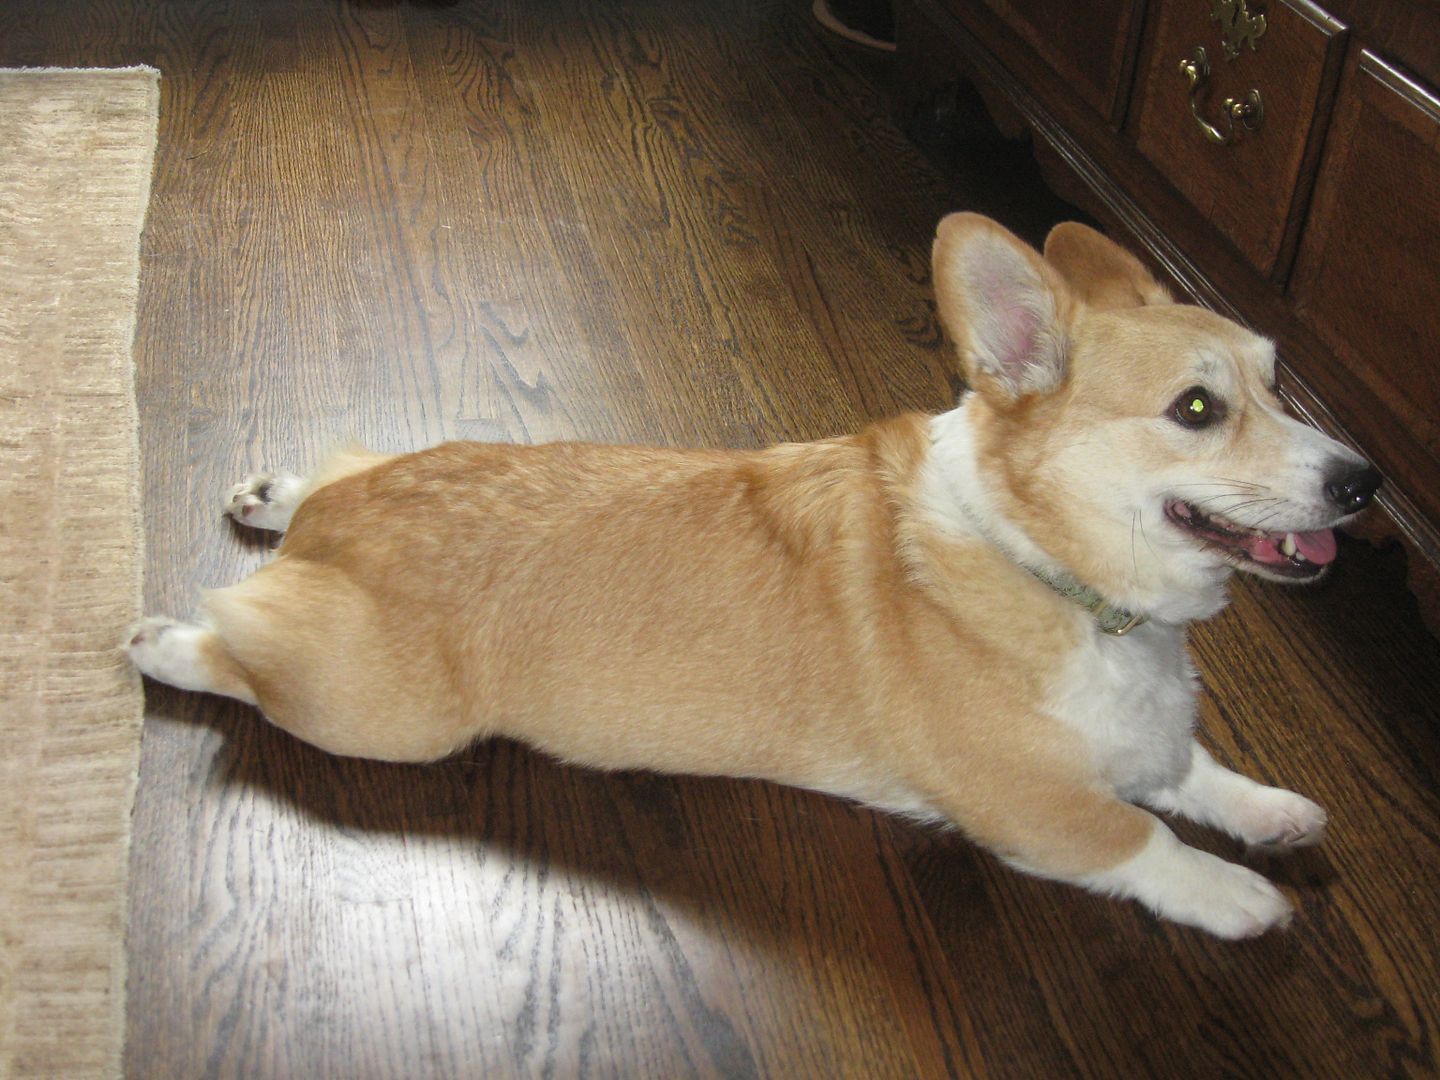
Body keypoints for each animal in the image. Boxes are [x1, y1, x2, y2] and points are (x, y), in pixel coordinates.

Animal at [126, 213, 1382, 938]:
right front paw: (1241, 896)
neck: (1047, 567)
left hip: (402, 469)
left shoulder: (1146, 737)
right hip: (385, 716)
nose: (1366, 482)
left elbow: (1194, 772)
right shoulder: (1022, 804)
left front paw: (1271, 813)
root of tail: (331, 526)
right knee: (236, 644)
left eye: (1279, 380)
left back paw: (273, 489)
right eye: (1199, 410)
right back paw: (162, 642)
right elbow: (1139, 838)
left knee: (337, 464)